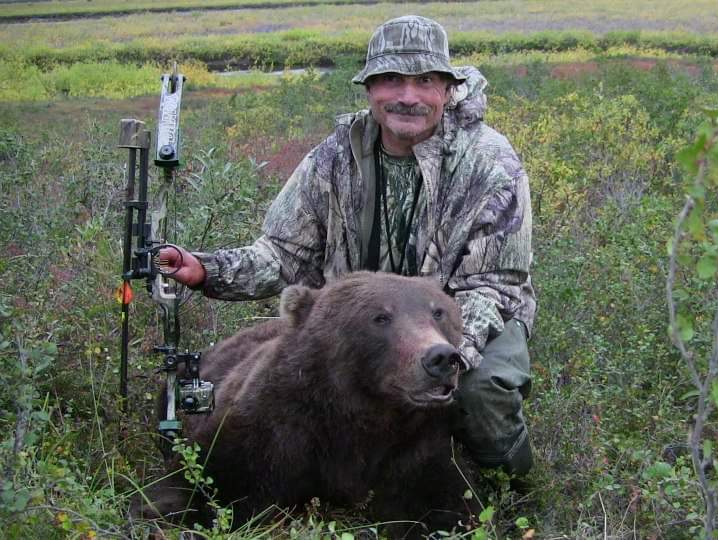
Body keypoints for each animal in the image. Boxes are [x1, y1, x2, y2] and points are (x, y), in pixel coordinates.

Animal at [138, 271, 480, 537]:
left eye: (438, 312)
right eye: (381, 317)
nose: (441, 357)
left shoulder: (413, 447)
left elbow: (450, 506)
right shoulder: (272, 430)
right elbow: (195, 485)